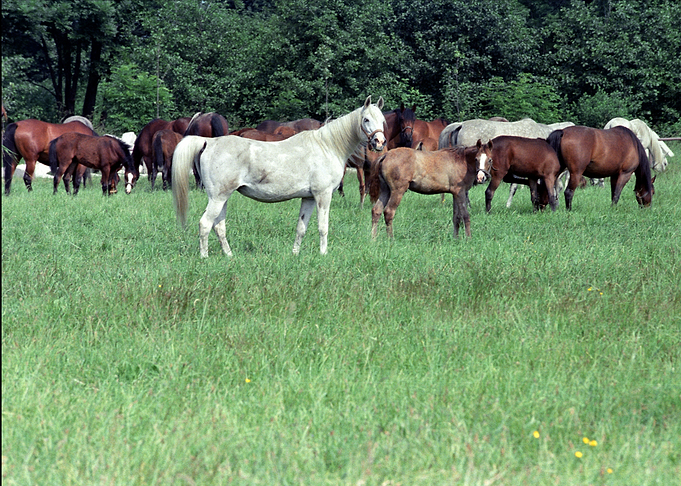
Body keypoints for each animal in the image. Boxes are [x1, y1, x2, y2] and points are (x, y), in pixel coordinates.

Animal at [172, 96, 387, 257]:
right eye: (366, 119)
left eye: (382, 120)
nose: (379, 142)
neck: (327, 146)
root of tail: (209, 142)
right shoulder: (323, 196)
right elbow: (322, 227)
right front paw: (323, 254)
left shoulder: (308, 198)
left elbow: (301, 227)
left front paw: (295, 254)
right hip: (218, 198)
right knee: (205, 224)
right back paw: (204, 257)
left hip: (222, 198)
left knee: (219, 227)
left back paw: (229, 255)